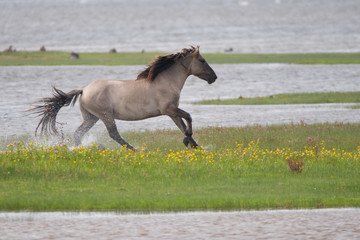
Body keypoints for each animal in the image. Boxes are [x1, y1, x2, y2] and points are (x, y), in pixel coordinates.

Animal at [29, 45, 217, 150]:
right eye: (202, 60)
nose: (214, 77)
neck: (165, 82)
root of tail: (84, 90)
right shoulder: (169, 109)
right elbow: (188, 118)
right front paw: (189, 142)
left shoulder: (171, 112)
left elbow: (182, 126)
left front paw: (195, 145)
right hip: (105, 116)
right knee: (114, 134)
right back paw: (134, 149)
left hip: (91, 117)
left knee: (78, 132)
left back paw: (81, 149)